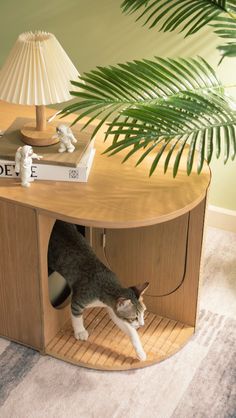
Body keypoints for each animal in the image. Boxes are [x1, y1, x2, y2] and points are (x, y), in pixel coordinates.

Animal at [47, 220, 149, 360]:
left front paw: (140, 351)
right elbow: (76, 316)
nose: (142, 324)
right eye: (134, 317)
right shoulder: (79, 300)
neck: (106, 284)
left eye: (143, 313)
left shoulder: (112, 309)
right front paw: (80, 331)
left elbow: (130, 330)